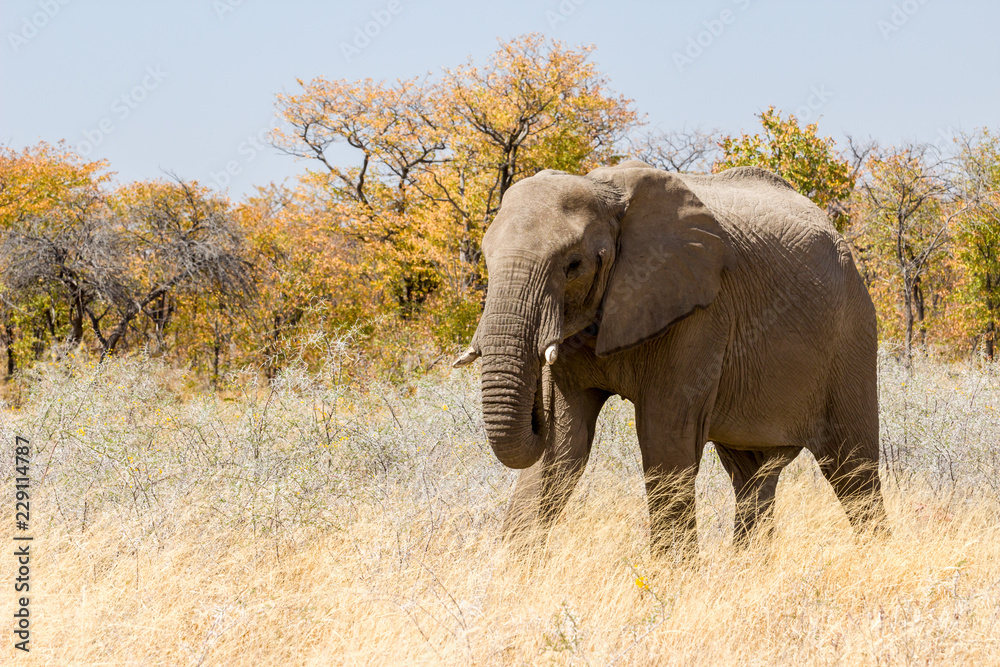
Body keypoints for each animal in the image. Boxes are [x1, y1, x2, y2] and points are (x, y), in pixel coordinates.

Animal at [453, 160, 888, 552]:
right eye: (487, 258)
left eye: (573, 265)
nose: (535, 407)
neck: (603, 190)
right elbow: (562, 448)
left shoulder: (700, 310)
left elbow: (663, 437)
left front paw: (671, 581)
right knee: (752, 473)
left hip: (852, 334)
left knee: (852, 468)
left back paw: (875, 560)